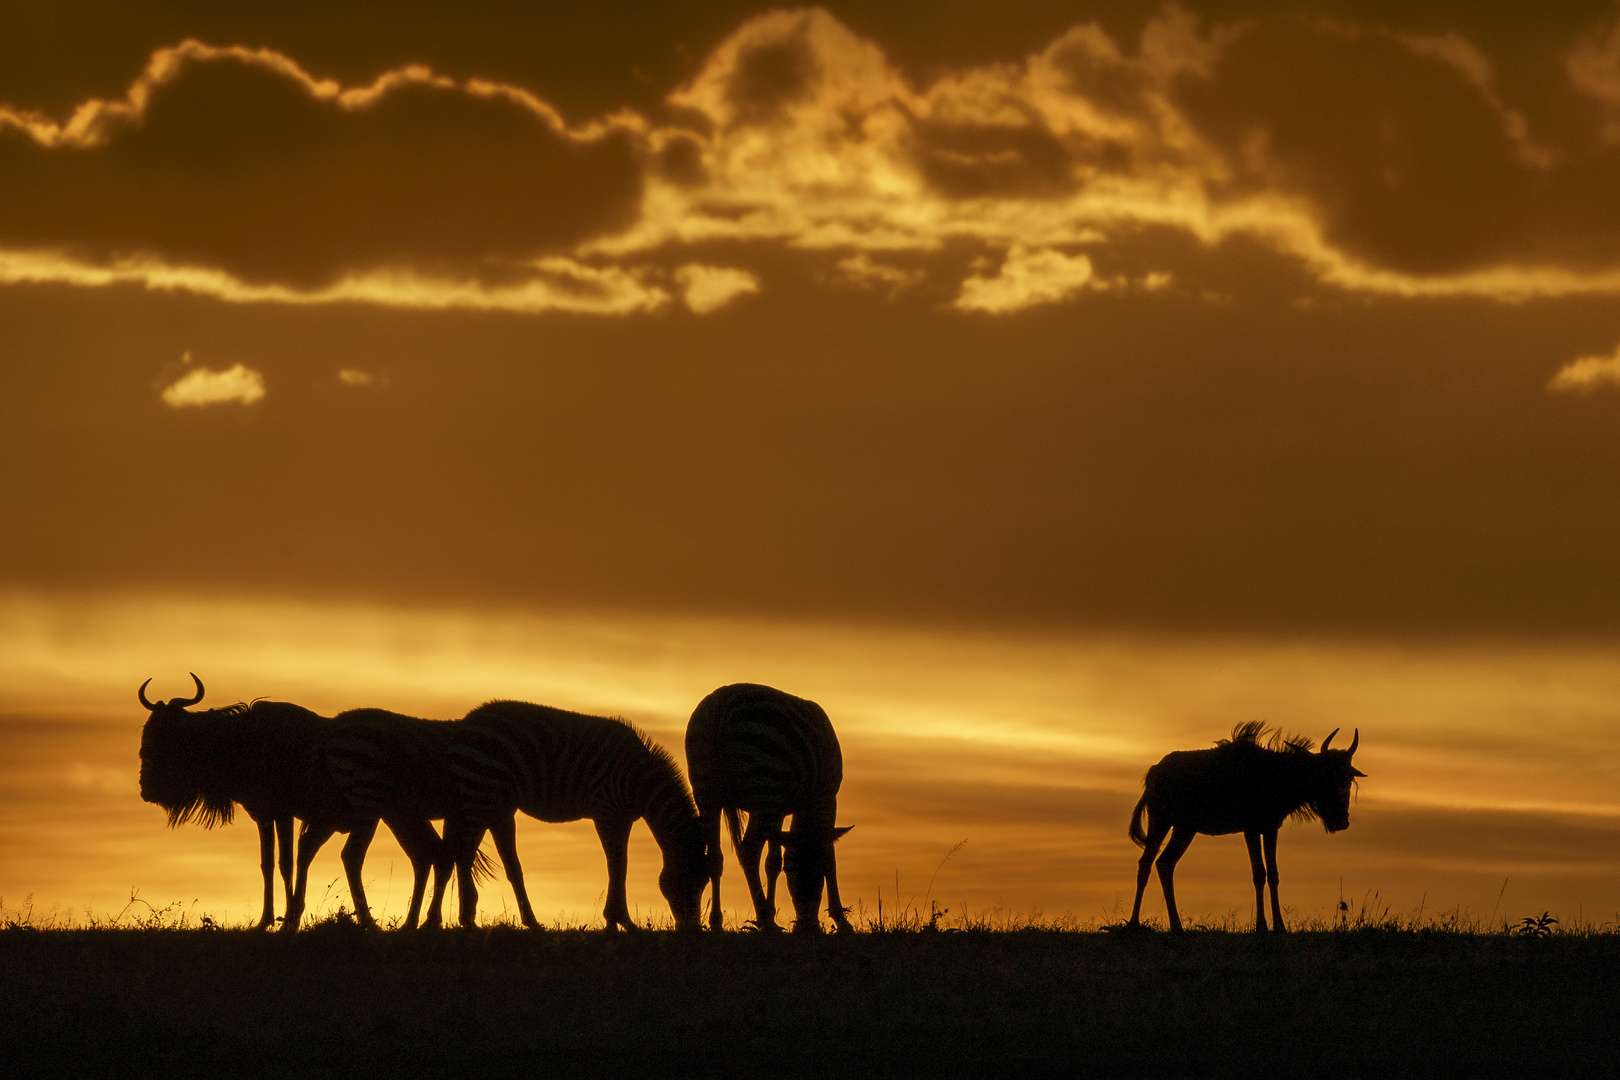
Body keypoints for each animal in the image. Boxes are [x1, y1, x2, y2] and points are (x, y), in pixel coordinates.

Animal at [136, 676, 322, 932]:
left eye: (171, 734)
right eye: (147, 731)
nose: (147, 789)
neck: (240, 744)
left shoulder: (284, 813)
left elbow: (286, 863)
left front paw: (289, 921)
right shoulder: (264, 815)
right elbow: (267, 865)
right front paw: (264, 921)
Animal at [434, 696, 706, 932]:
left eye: (704, 883)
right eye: (687, 880)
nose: (692, 930)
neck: (638, 779)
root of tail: (465, 723)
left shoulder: (623, 817)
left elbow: (621, 865)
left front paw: (619, 921)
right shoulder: (605, 811)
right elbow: (616, 865)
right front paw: (617, 921)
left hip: (487, 800)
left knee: (468, 855)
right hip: (481, 791)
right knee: (464, 854)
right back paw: (469, 919)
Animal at [683, 689, 855, 932]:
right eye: (795, 873)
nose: (807, 927)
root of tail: (721, 705)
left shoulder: (775, 809)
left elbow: (770, 860)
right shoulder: (825, 797)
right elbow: (829, 857)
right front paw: (841, 920)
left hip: (706, 790)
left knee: (716, 857)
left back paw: (718, 922)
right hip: (766, 784)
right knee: (750, 851)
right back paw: (765, 919)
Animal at [1127, 722, 1367, 932]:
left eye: (1348, 779)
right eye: (1322, 775)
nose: (1340, 821)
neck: (1276, 775)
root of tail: (1152, 773)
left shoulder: (1270, 828)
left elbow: (1273, 874)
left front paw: (1279, 927)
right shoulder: (1250, 828)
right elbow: (1259, 874)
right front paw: (1261, 926)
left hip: (1184, 828)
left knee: (1164, 863)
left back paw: (1177, 926)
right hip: (1161, 821)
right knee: (1146, 864)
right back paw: (1134, 924)